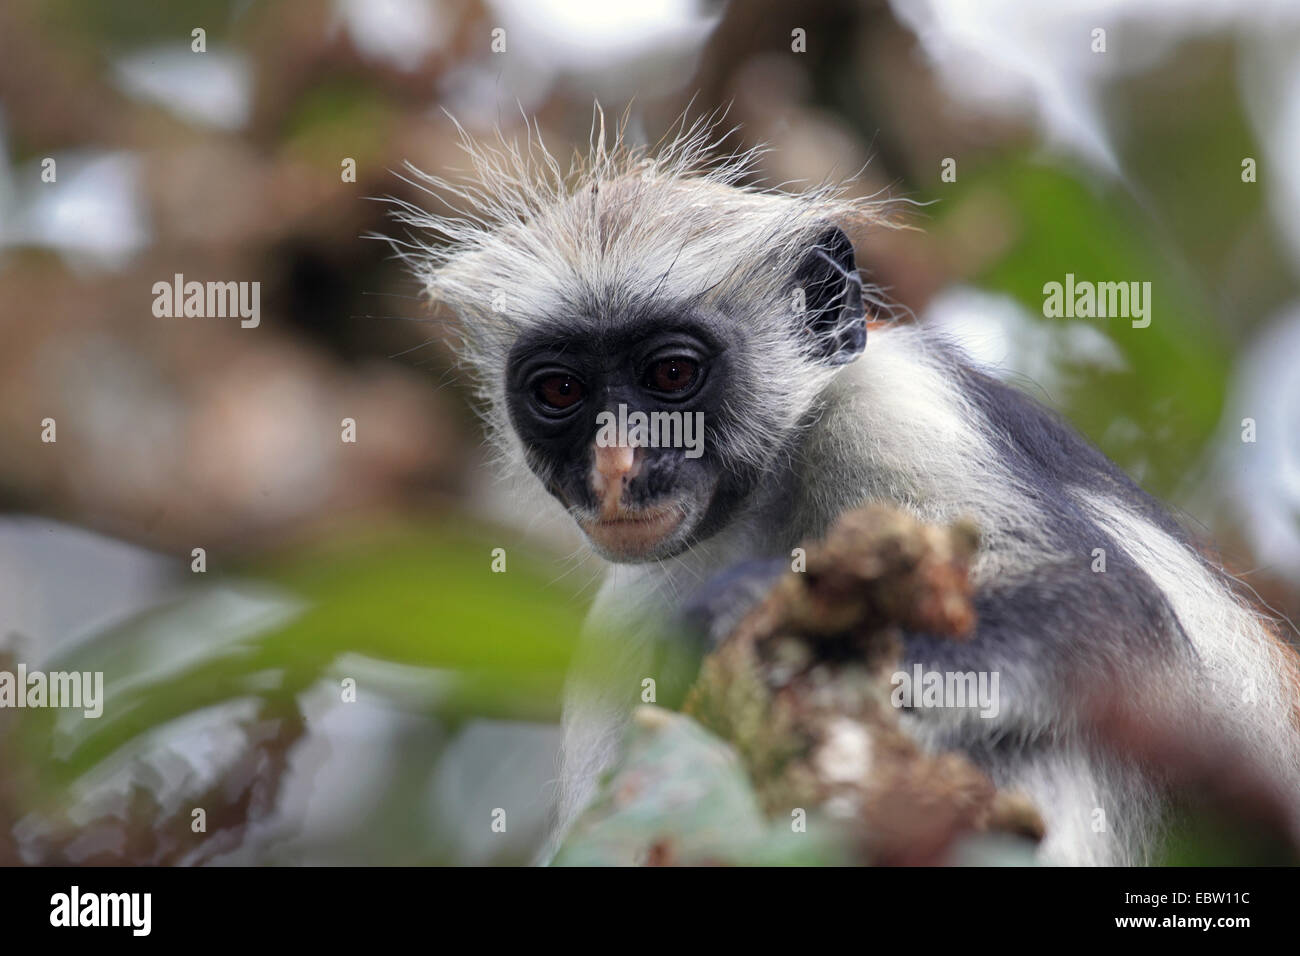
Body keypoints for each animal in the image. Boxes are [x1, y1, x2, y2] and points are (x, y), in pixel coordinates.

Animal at [392, 111, 1300, 868]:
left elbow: (1114, 620)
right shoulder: (626, 628)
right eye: (560, 392)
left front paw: (752, 611)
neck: (767, 500)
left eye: (672, 375)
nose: (615, 467)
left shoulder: (893, 403)